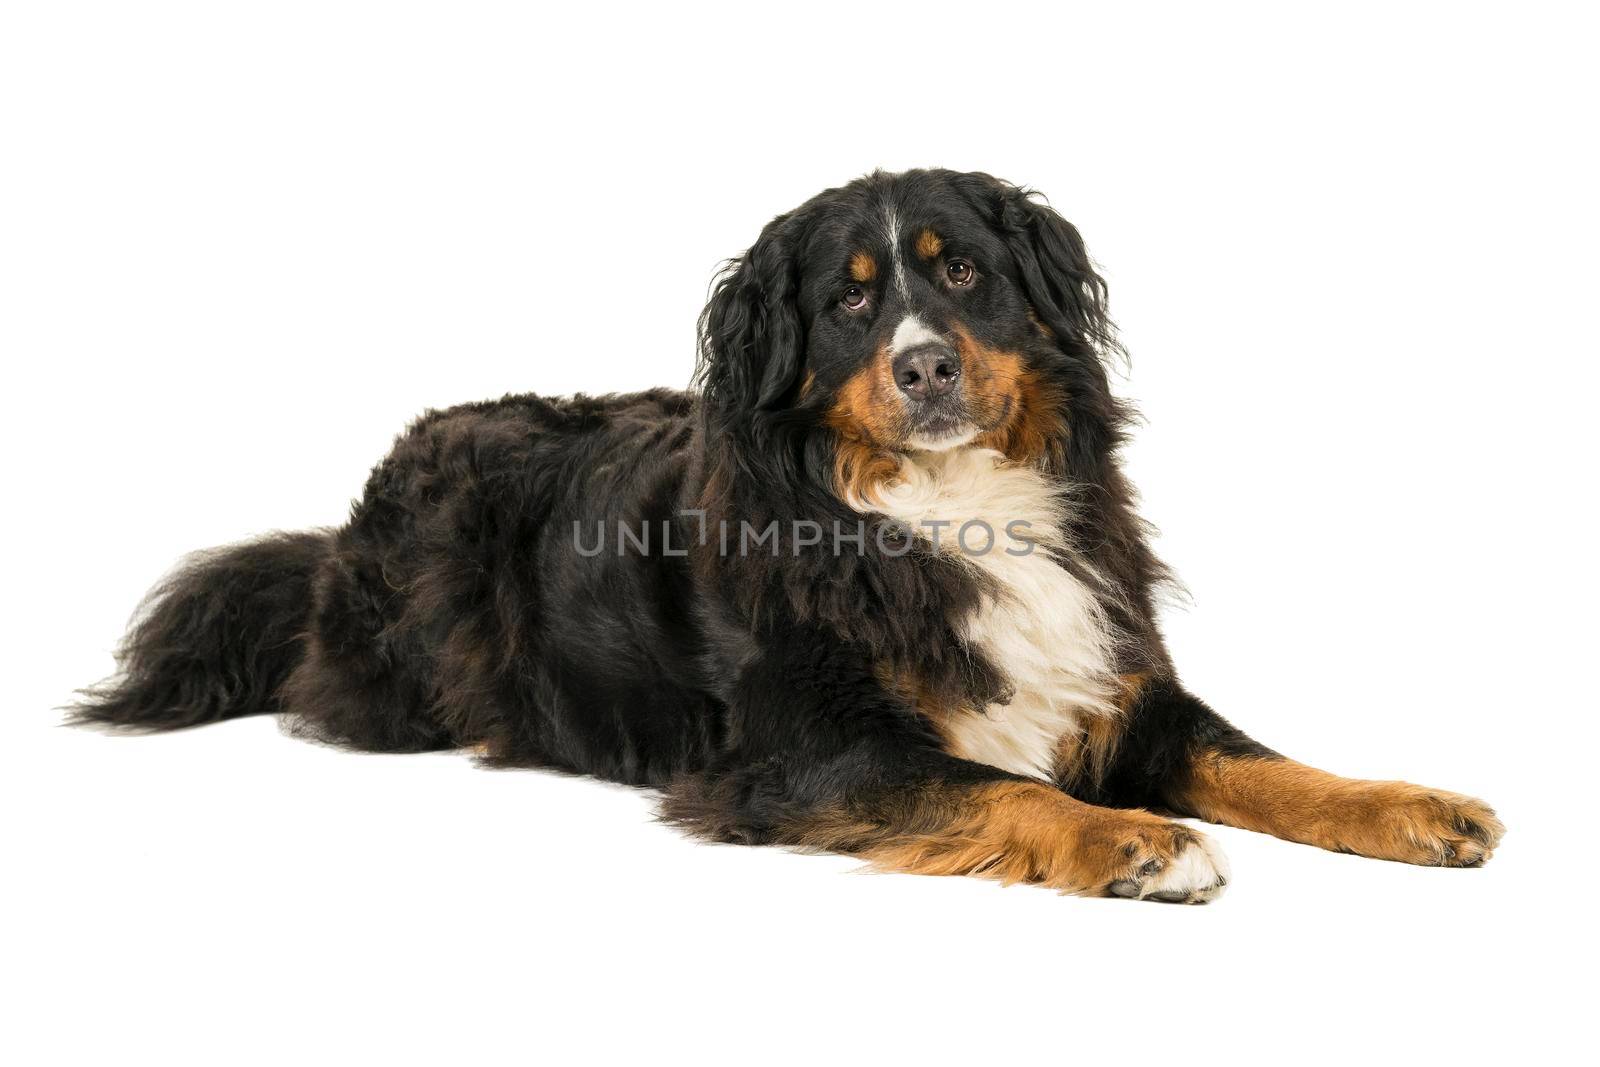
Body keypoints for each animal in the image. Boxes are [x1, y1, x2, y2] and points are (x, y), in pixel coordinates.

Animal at [75, 167, 1497, 902]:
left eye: (963, 271)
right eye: (850, 302)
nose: (924, 366)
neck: (942, 507)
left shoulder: (1120, 686)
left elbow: (1268, 763)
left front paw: (1412, 805)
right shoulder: (802, 752)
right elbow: (999, 786)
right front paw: (1134, 839)